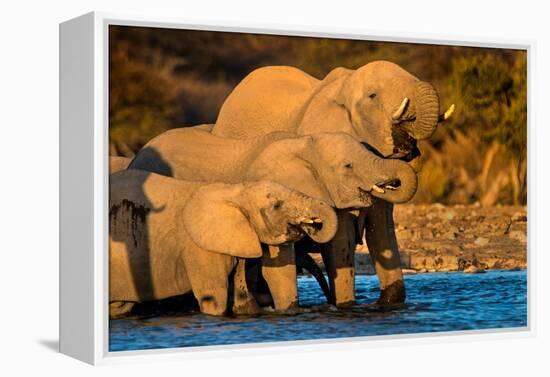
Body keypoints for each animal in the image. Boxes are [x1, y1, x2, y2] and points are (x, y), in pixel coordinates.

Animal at [110, 170, 338, 318]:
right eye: (277, 205)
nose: (312, 225)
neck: (235, 190)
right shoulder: (198, 247)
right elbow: (214, 297)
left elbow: (277, 277)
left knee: (120, 306)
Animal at [211, 60, 458, 304]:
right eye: (373, 96)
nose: (407, 147)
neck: (344, 87)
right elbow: (341, 238)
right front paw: (344, 304)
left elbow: (382, 231)